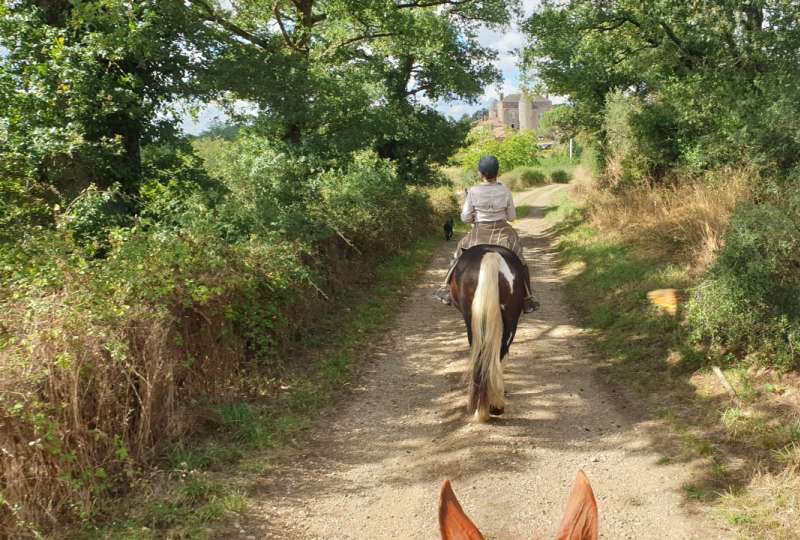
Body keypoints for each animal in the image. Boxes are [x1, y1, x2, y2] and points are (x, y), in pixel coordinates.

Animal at [450, 244, 524, 422]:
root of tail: (491, 256)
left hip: (473, 320)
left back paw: (486, 407)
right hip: (511, 319)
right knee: (499, 354)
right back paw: (493, 405)